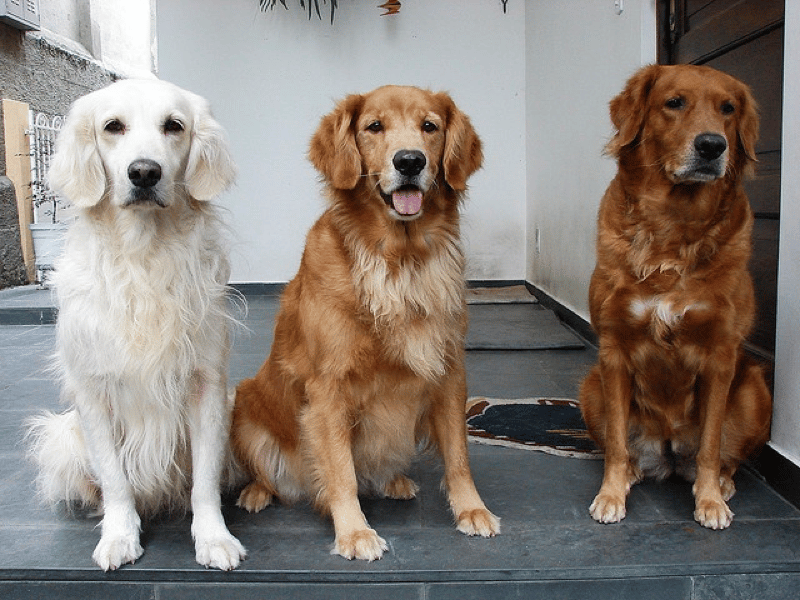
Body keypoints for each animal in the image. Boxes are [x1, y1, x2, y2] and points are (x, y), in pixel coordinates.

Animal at [26, 79, 245, 572]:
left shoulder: (207, 384)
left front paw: (213, 537)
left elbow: (204, 480)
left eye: (174, 126)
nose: (144, 172)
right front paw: (119, 536)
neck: (145, 255)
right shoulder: (94, 392)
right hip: (63, 437)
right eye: (113, 126)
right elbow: (114, 479)